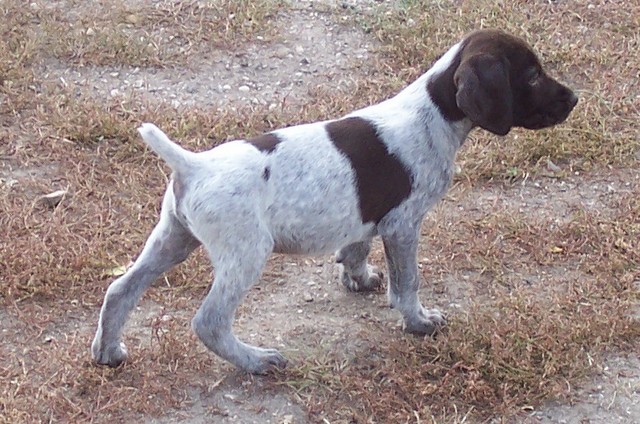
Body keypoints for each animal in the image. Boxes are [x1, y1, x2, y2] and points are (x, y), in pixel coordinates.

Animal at [94, 30, 580, 374]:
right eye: (532, 76)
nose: (574, 97)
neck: (434, 114)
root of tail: (193, 165)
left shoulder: (368, 218)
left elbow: (356, 246)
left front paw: (358, 278)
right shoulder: (404, 225)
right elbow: (408, 284)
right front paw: (419, 322)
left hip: (172, 238)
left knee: (120, 290)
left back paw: (108, 351)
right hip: (245, 253)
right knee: (208, 322)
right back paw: (256, 361)